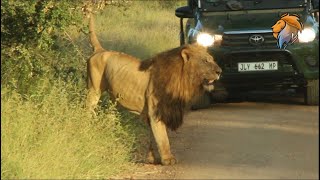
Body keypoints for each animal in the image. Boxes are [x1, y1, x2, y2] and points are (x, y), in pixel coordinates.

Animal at [85, 14, 222, 166]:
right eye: (205, 61)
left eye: (212, 59)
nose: (219, 71)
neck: (182, 78)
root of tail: (100, 50)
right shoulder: (156, 110)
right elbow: (162, 138)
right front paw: (168, 159)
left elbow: (153, 137)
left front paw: (152, 159)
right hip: (93, 90)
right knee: (87, 110)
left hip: (112, 100)